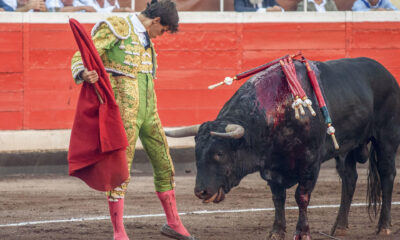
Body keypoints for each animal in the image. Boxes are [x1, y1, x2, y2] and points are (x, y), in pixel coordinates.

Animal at [166, 57, 400, 239]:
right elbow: (278, 198)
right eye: (197, 153)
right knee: (349, 178)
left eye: (220, 153)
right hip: (346, 148)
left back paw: (384, 227)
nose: (201, 191)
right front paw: (276, 232)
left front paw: (302, 232)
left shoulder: (310, 165)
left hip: (387, 137)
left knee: (387, 174)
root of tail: (387, 74)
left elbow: (301, 197)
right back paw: (339, 227)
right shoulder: (272, 169)